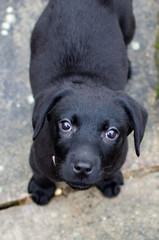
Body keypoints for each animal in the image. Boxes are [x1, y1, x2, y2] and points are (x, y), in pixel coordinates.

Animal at [27, 0, 148, 204]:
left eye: (111, 133)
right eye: (65, 125)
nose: (83, 168)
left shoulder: (119, 158)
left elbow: (110, 172)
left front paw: (110, 181)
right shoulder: (36, 156)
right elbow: (40, 174)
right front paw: (41, 189)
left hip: (129, 25)